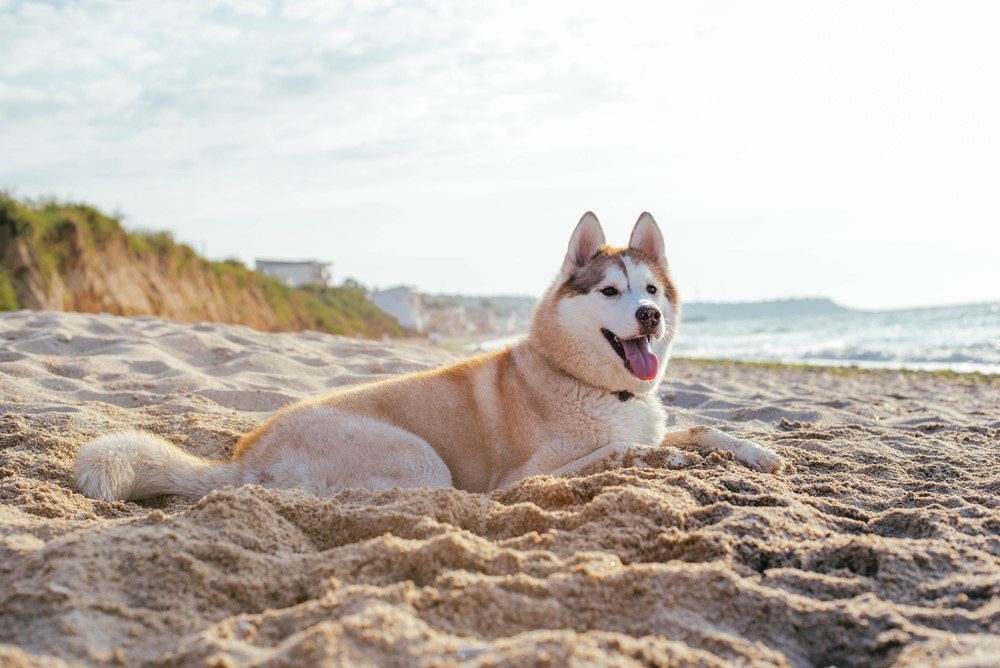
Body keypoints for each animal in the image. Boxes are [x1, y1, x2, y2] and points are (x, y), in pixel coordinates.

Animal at [74, 214, 784, 500]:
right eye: (611, 292)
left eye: (653, 291)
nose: (649, 316)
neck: (594, 383)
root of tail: (243, 458)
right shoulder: (524, 476)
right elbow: (620, 450)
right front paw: (663, 458)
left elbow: (704, 428)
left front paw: (757, 452)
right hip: (423, 463)